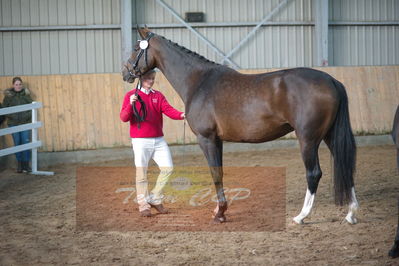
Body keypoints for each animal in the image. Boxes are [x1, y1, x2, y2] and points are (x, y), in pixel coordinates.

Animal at [122, 27, 360, 225]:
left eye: (136, 48)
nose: (125, 72)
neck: (199, 82)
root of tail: (331, 81)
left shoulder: (206, 139)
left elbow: (215, 174)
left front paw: (220, 214)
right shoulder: (217, 140)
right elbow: (220, 172)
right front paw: (219, 210)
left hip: (308, 140)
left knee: (314, 173)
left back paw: (301, 216)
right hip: (329, 135)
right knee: (345, 166)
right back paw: (351, 214)